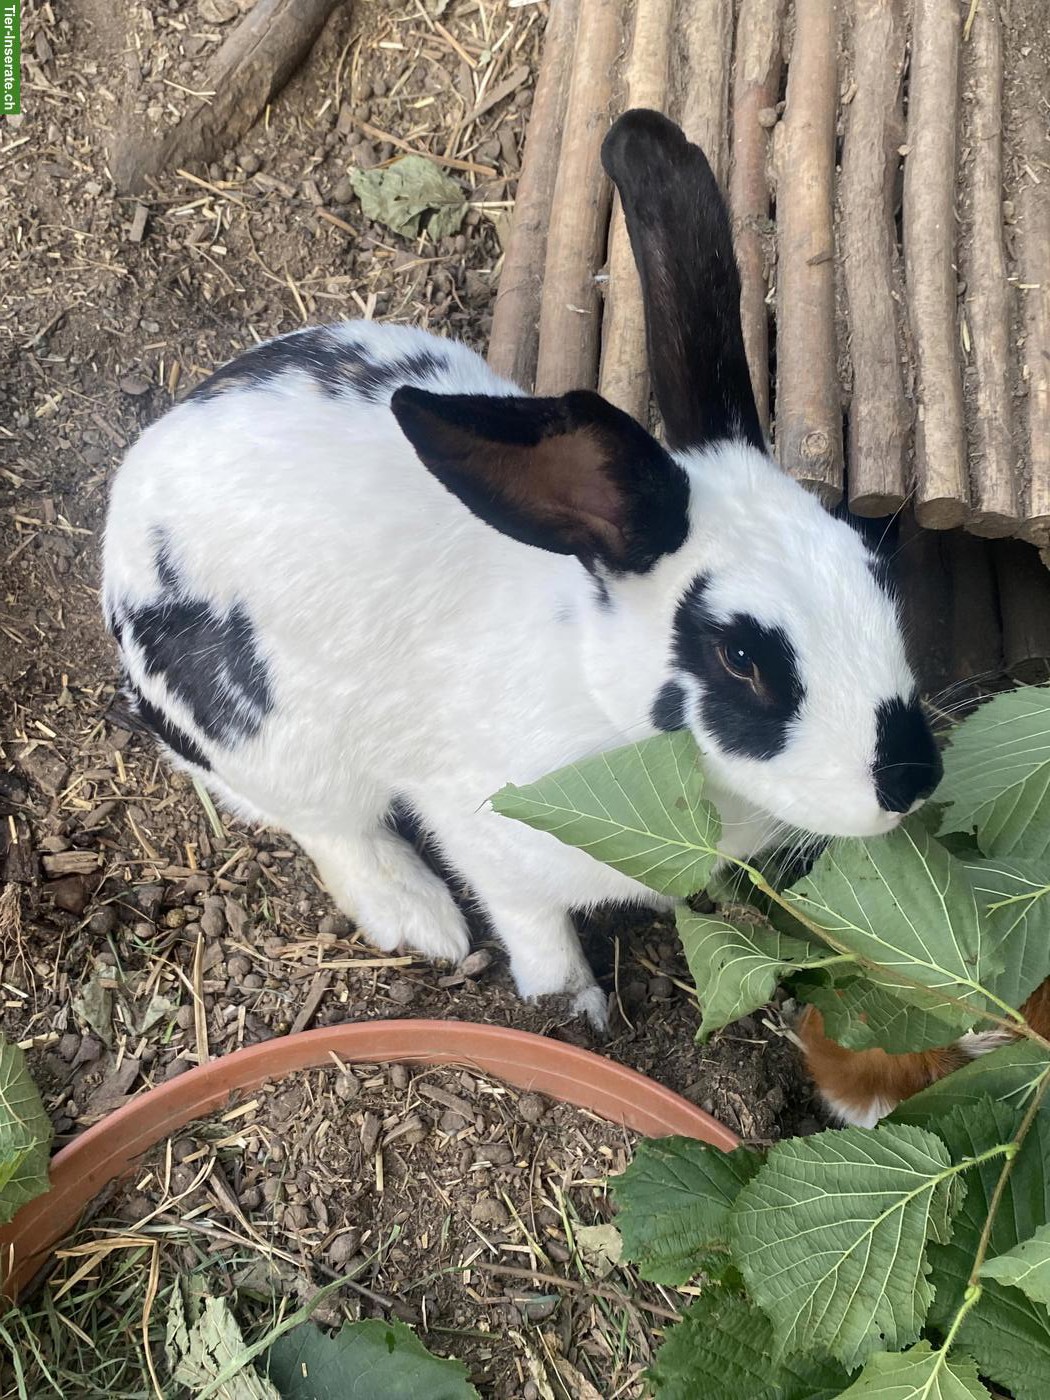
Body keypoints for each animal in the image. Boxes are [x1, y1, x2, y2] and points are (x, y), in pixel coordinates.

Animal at [101, 108, 941, 1047]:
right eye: (740, 659)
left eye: (874, 570)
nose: (912, 778)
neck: (593, 689)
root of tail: (133, 496)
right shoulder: (487, 836)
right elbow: (531, 922)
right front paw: (570, 1006)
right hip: (281, 747)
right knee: (329, 830)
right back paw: (418, 914)